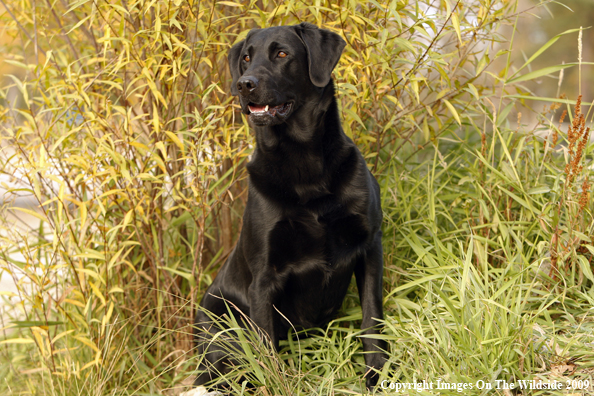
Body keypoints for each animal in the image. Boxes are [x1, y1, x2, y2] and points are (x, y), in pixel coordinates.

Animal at [194, 21, 386, 390]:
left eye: (282, 54)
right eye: (246, 58)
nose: (244, 84)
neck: (305, 168)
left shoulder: (369, 247)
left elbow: (373, 323)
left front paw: (379, 378)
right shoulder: (263, 278)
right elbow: (267, 352)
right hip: (219, 326)